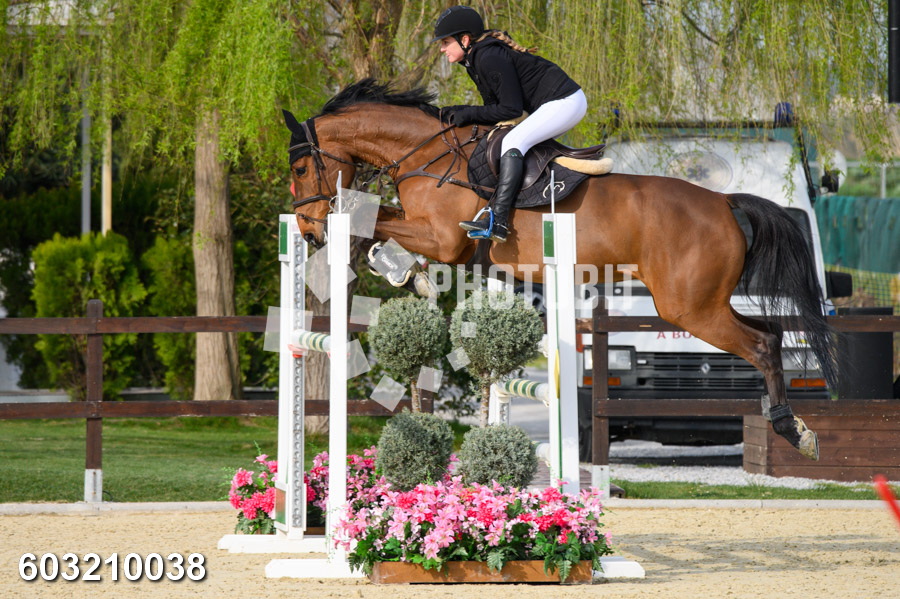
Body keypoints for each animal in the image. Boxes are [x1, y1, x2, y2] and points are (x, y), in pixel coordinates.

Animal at [282, 79, 836, 460]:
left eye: (300, 168)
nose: (307, 231)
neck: (429, 154)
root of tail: (723, 202)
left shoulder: (445, 239)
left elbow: (367, 219)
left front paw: (398, 268)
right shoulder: (441, 241)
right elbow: (377, 225)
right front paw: (408, 274)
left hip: (688, 308)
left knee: (761, 344)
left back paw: (795, 431)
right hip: (702, 303)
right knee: (771, 333)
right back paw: (795, 427)